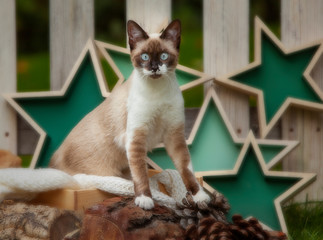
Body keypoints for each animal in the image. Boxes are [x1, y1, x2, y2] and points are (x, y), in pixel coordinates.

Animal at [50, 19, 211, 209]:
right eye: (145, 57)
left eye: (164, 56)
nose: (154, 68)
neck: (158, 91)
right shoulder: (136, 138)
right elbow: (141, 174)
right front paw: (145, 199)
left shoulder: (174, 136)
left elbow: (186, 170)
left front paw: (199, 196)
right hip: (105, 171)